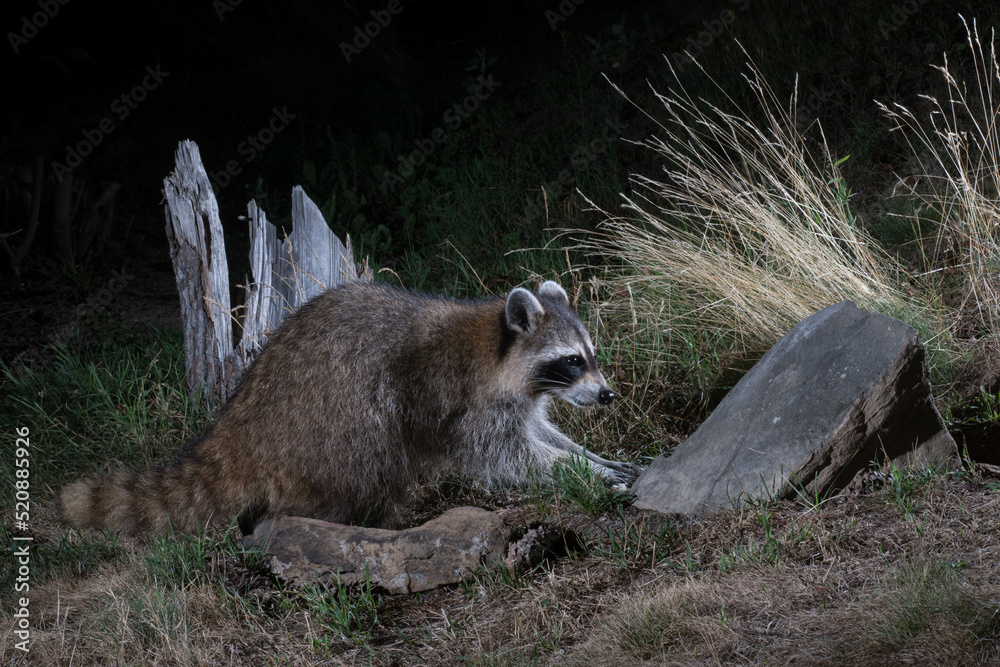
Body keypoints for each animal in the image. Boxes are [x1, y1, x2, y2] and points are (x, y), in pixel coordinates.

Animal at [59, 280, 642, 534]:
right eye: (571, 361)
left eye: (591, 355)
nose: (607, 394)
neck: (496, 348)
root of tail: (241, 418)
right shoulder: (466, 406)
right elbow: (508, 456)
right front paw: (580, 472)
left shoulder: (519, 401)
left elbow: (542, 435)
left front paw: (594, 458)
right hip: (335, 416)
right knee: (370, 451)